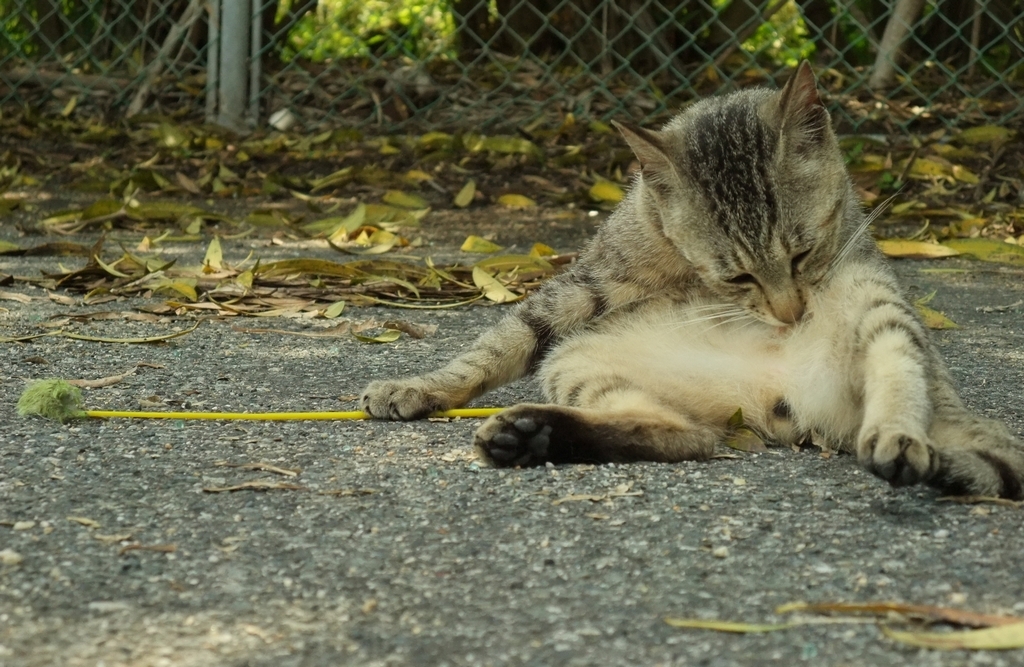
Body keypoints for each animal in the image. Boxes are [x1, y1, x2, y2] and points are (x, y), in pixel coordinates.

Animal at [360, 62, 1024, 499]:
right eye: (737, 275)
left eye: (803, 254)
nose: (791, 316)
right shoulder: (584, 284)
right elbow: (493, 348)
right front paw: (422, 387)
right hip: (580, 363)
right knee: (686, 439)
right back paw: (530, 436)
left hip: (875, 304)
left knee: (899, 379)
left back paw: (900, 439)